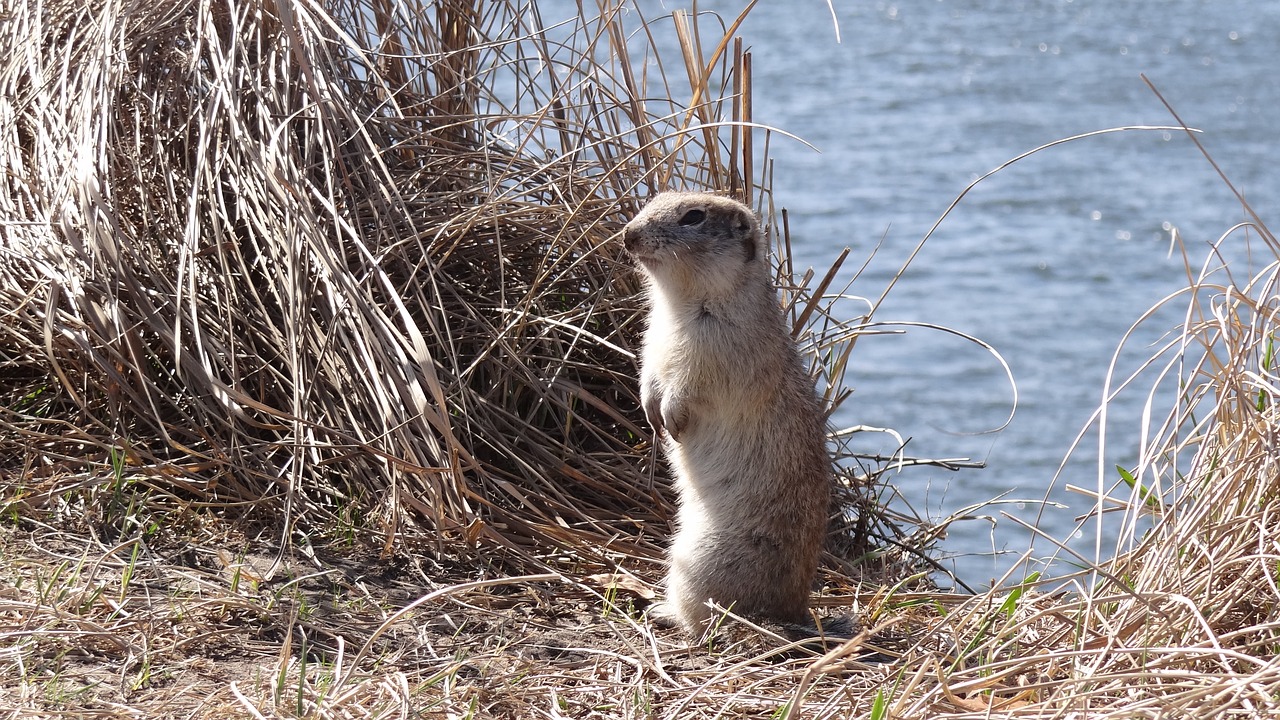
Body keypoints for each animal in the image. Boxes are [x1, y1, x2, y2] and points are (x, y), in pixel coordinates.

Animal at [619, 189, 829, 632]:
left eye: (694, 217)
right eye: (655, 198)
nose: (628, 235)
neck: (678, 304)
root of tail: (796, 608)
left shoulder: (717, 352)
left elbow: (691, 386)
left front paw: (671, 418)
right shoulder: (653, 338)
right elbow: (649, 371)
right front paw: (650, 410)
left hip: (700, 561)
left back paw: (663, 611)